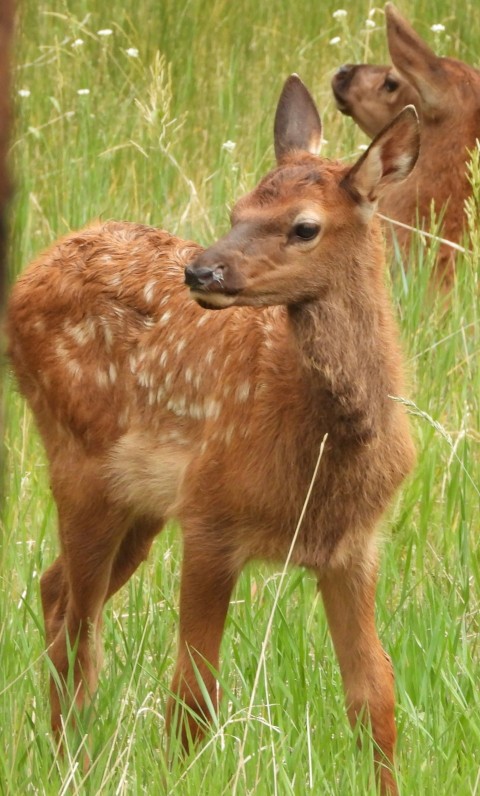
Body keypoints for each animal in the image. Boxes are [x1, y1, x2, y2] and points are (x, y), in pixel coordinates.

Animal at [6, 75, 420, 795]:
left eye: (304, 225)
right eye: (236, 209)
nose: (201, 272)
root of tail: (32, 274)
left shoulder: (353, 546)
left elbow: (374, 697)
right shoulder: (211, 519)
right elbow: (193, 697)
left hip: (139, 504)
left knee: (57, 592)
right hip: (78, 462)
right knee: (78, 630)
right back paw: (70, 765)